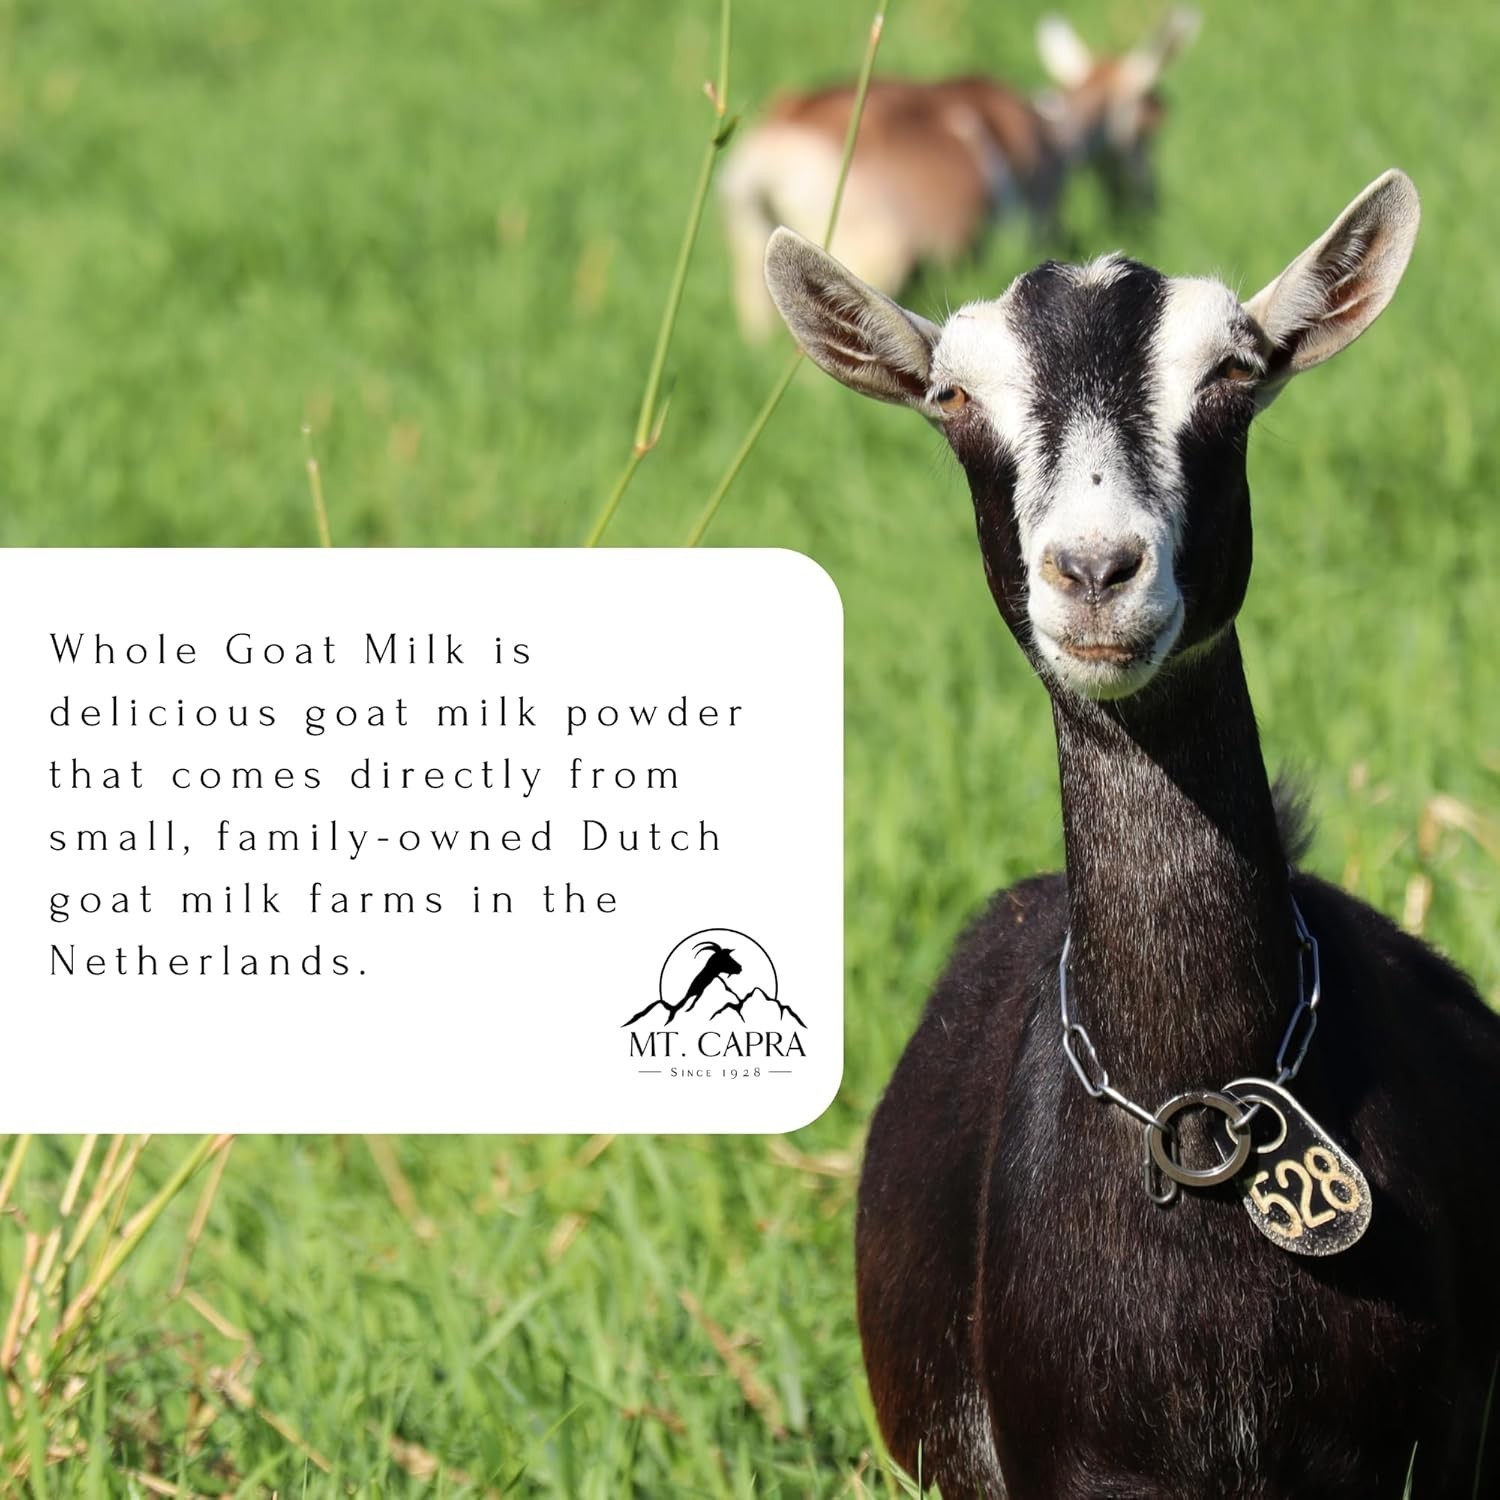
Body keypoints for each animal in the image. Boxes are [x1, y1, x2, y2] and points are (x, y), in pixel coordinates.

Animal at [723, 9, 1198, 340]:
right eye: (1150, 123)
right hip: (865, 255)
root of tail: (773, 152)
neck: (1053, 131)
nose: (1149, 200)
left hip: (753, 246)